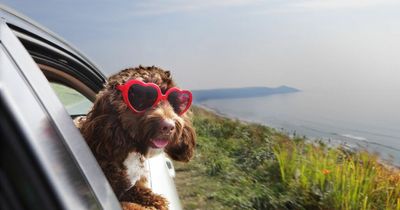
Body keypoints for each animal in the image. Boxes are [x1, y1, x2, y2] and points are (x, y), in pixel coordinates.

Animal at [75, 66, 197, 210]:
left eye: (175, 102)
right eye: (141, 99)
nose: (168, 127)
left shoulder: (134, 186)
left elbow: (147, 195)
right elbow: (131, 204)